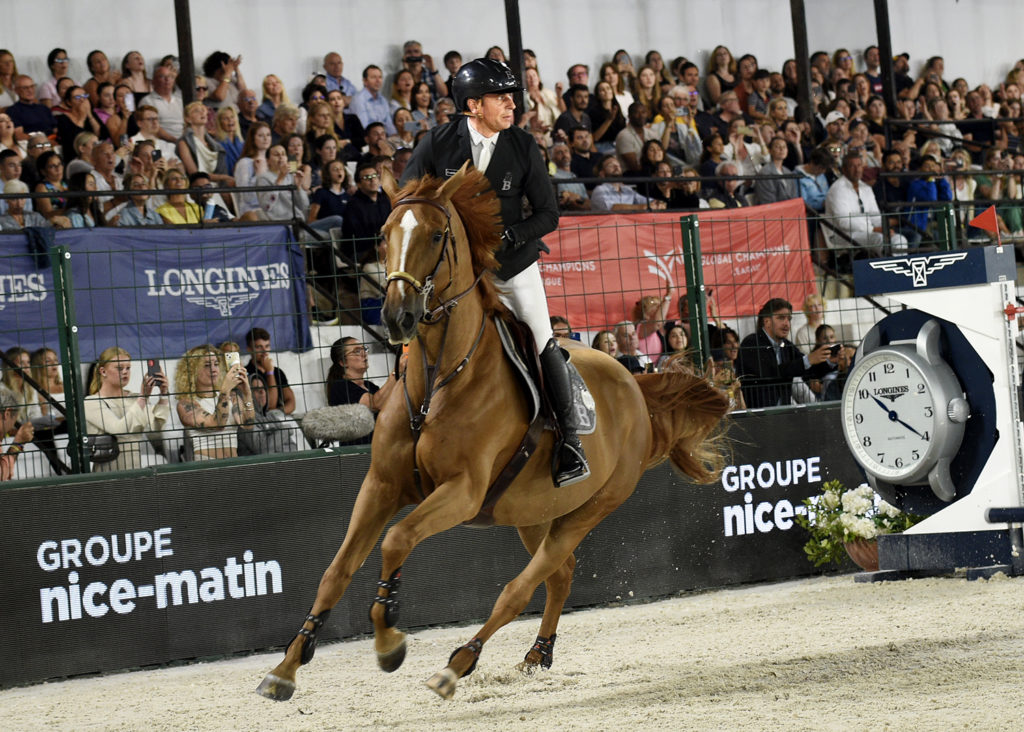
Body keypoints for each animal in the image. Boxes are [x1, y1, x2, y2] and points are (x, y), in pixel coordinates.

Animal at [260, 161, 733, 704]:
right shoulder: (381, 485)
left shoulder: (462, 492)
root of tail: (634, 386)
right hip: (533, 511)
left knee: (521, 587)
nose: (397, 317)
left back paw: (458, 664)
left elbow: (396, 540)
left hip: (591, 508)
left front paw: (388, 640)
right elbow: (336, 571)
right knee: (560, 574)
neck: (438, 380)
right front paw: (288, 666)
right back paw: (537, 654)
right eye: (383, 235)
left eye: (437, 235)